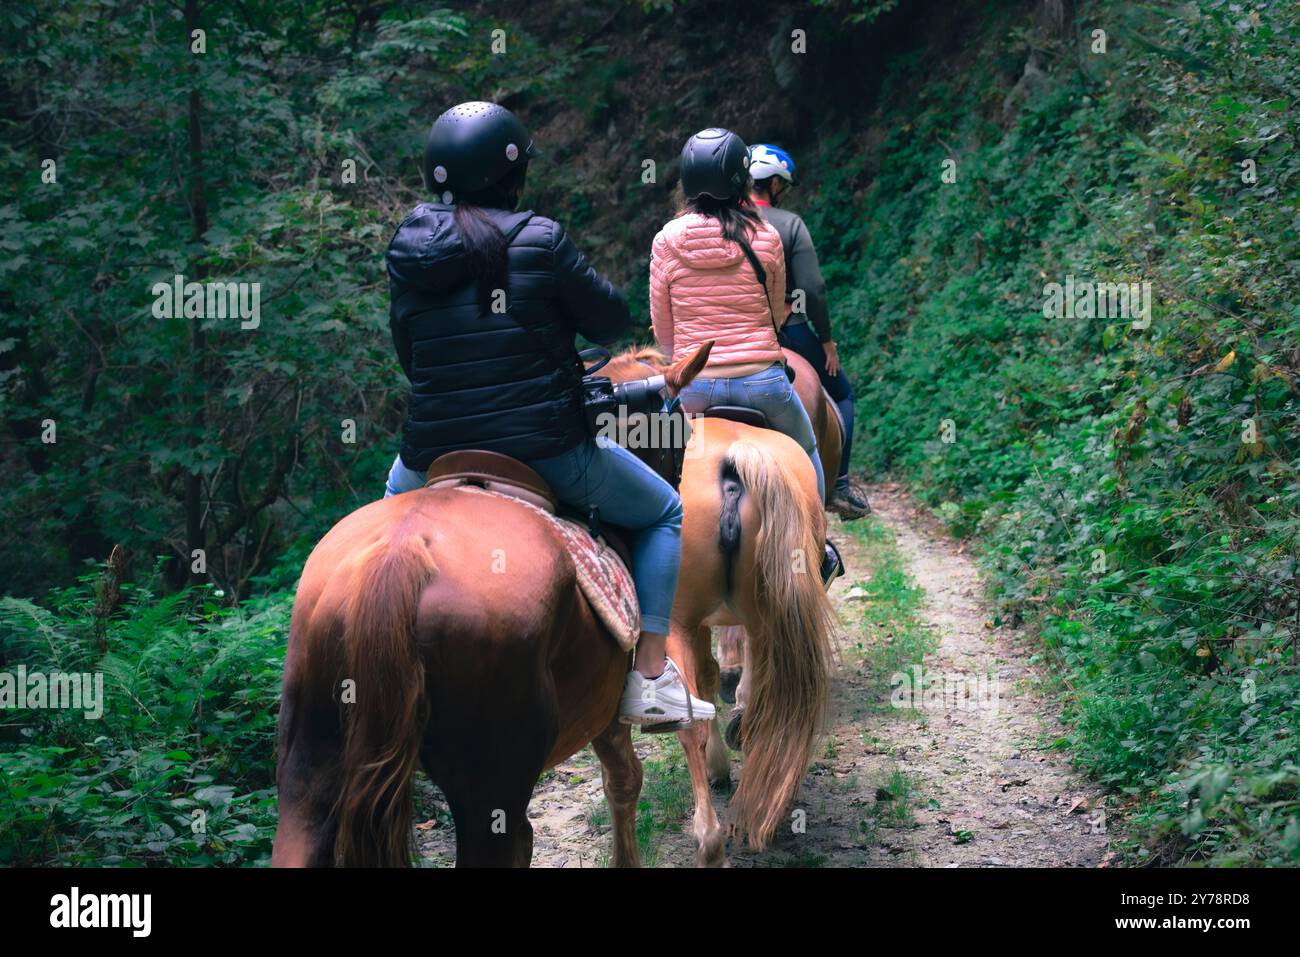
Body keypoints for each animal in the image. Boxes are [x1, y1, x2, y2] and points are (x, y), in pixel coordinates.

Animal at [269, 340, 712, 863]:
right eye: (681, 427)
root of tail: (401, 555)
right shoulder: (606, 707)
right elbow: (624, 781)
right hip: (490, 784)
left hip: (309, 769)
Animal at [600, 345, 837, 868]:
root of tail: (735, 460)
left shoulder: (688, 624)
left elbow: (706, 686)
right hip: (769, 614)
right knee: (769, 699)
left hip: (681, 622)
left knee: (696, 718)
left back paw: (711, 840)